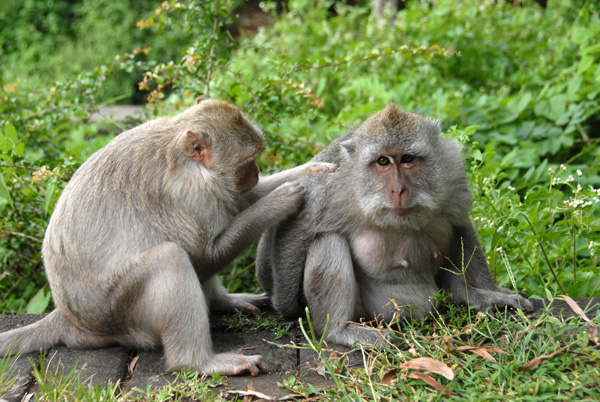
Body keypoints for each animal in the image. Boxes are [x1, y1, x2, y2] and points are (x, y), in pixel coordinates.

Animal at [0, 99, 336, 376]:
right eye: (247, 159)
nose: (254, 172)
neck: (190, 164)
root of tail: (70, 319)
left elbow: (242, 200)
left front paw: (310, 171)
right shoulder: (188, 195)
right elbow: (206, 256)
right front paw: (282, 198)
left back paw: (223, 302)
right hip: (120, 315)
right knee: (171, 257)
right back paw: (199, 362)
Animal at [258, 104, 536, 348]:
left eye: (407, 159)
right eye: (382, 161)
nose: (399, 190)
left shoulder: (451, 169)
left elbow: (459, 222)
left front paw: (487, 291)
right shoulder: (329, 189)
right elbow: (295, 230)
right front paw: (285, 305)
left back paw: (463, 293)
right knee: (328, 240)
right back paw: (338, 330)